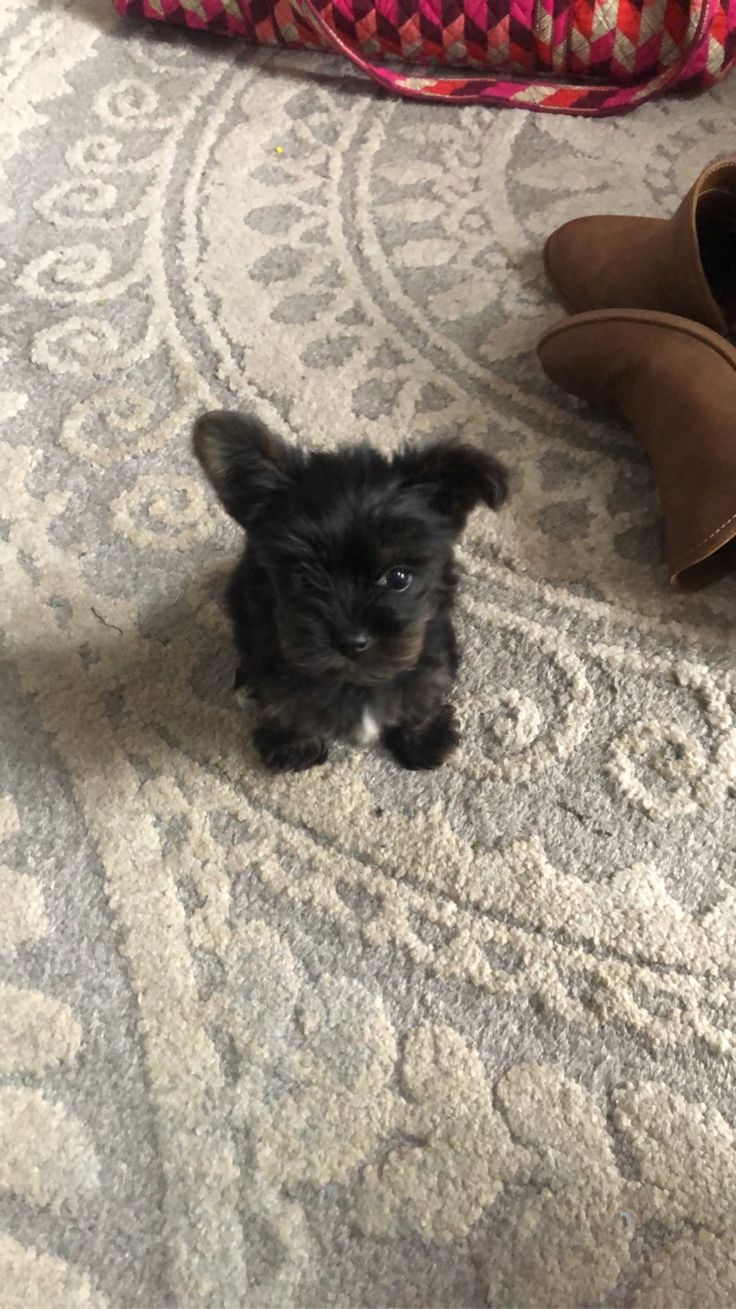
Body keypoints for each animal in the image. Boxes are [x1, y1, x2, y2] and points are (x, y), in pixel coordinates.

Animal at [192, 413, 508, 769]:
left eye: (399, 578)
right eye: (304, 579)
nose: (351, 641)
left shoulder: (432, 656)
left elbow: (421, 693)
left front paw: (424, 739)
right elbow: (287, 705)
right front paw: (294, 747)